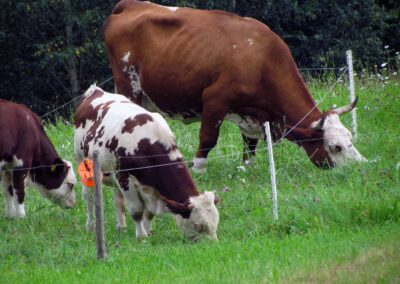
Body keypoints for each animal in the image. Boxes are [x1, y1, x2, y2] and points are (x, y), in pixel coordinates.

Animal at [73, 85, 220, 241]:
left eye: (216, 223)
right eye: (199, 226)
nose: (213, 243)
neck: (148, 143)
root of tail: (95, 90)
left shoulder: (152, 189)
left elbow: (149, 213)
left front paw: (148, 233)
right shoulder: (126, 181)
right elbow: (137, 211)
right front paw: (141, 237)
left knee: (118, 200)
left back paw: (121, 226)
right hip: (84, 164)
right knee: (89, 196)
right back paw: (91, 227)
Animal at [103, 0, 366, 172]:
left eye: (350, 138)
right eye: (335, 147)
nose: (360, 168)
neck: (263, 60)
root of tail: (129, 4)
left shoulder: (252, 114)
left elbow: (250, 144)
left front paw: (247, 169)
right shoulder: (214, 100)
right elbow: (208, 139)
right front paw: (198, 171)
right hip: (128, 84)